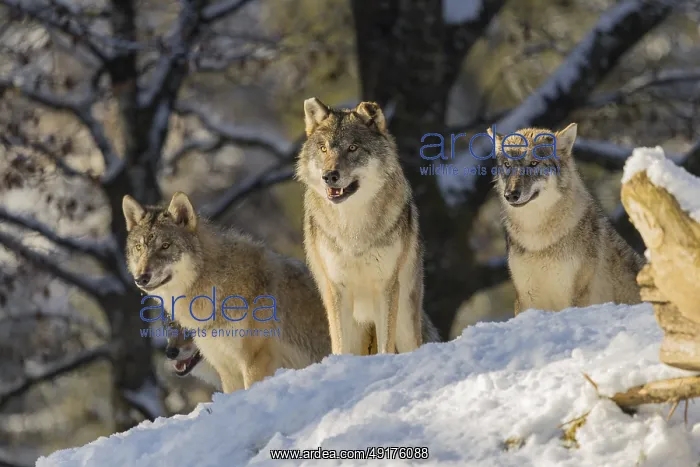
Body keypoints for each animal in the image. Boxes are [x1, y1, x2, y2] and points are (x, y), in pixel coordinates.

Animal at [296, 97, 433, 355]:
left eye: (352, 148)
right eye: (323, 149)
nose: (329, 176)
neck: (353, 228)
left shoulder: (386, 286)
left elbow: (385, 345)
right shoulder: (336, 288)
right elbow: (340, 346)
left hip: (405, 321)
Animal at [489, 123, 644, 314]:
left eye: (533, 163)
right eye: (507, 165)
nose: (511, 195)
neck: (537, 238)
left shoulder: (576, 295)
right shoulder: (525, 297)